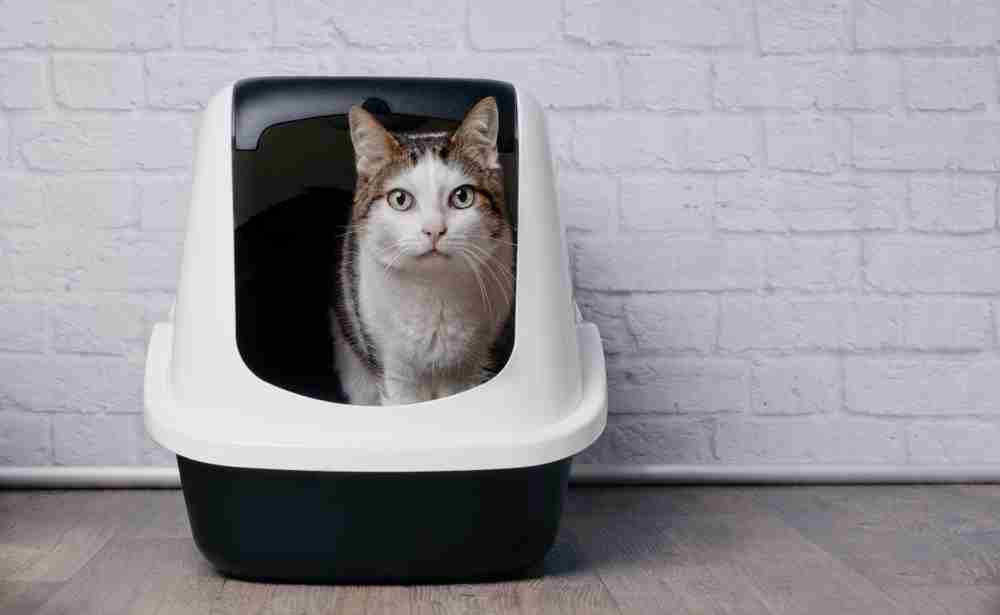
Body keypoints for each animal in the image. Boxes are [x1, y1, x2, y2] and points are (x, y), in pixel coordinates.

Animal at [332, 97, 516, 410]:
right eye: (400, 199)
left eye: (462, 197)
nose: (434, 230)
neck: (434, 290)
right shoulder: (395, 372)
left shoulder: (468, 368)